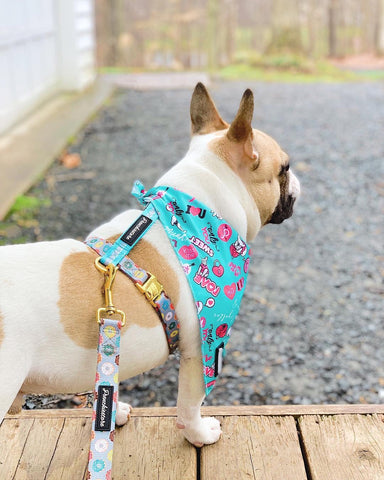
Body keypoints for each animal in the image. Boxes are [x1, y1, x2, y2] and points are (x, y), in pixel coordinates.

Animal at [0, 82, 300, 446]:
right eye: (285, 168)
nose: (298, 180)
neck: (193, 214)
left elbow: (103, 377)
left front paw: (110, 411)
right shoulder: (202, 349)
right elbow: (189, 405)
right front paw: (199, 434)